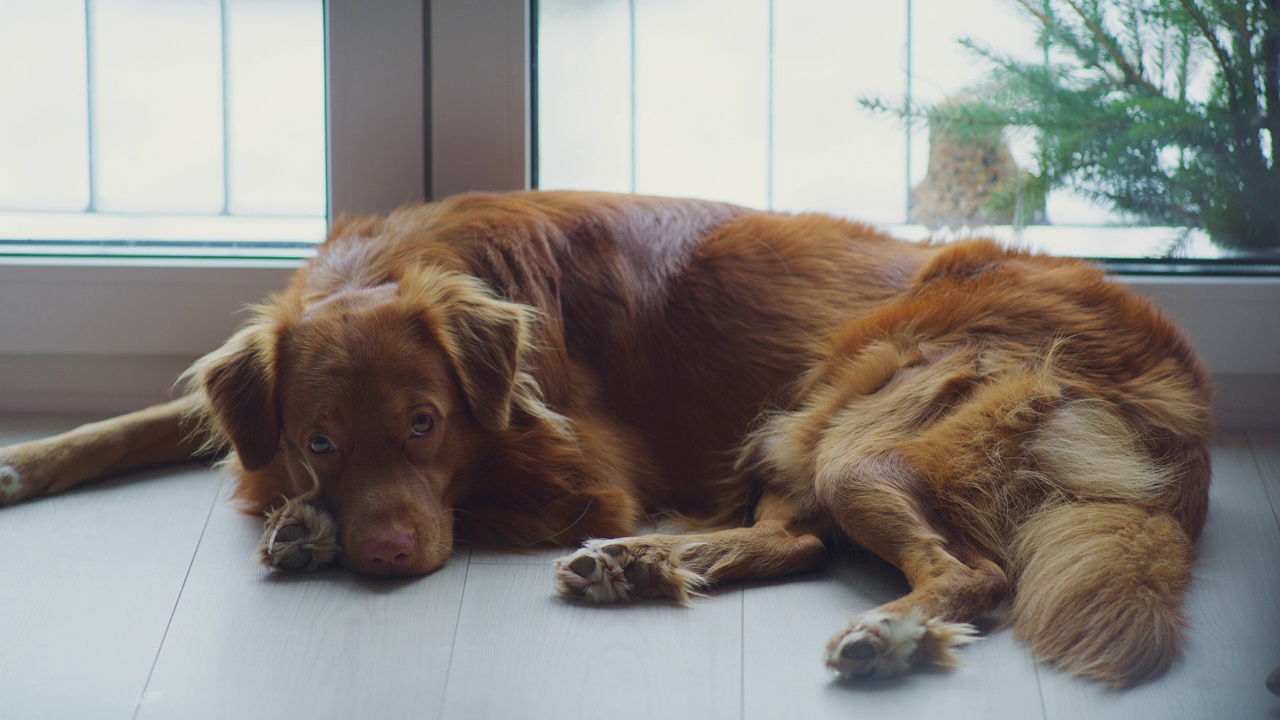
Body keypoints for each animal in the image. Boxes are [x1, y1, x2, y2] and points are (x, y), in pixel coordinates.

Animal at [0, 189, 1208, 681]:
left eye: (426, 424)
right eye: (318, 440)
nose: (385, 558)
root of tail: (1177, 385)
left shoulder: (578, 475)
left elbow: (476, 500)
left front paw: (308, 531)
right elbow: (151, 419)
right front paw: (25, 460)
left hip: (848, 432)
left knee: (965, 574)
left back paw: (885, 635)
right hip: (795, 432)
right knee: (797, 539)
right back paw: (643, 567)